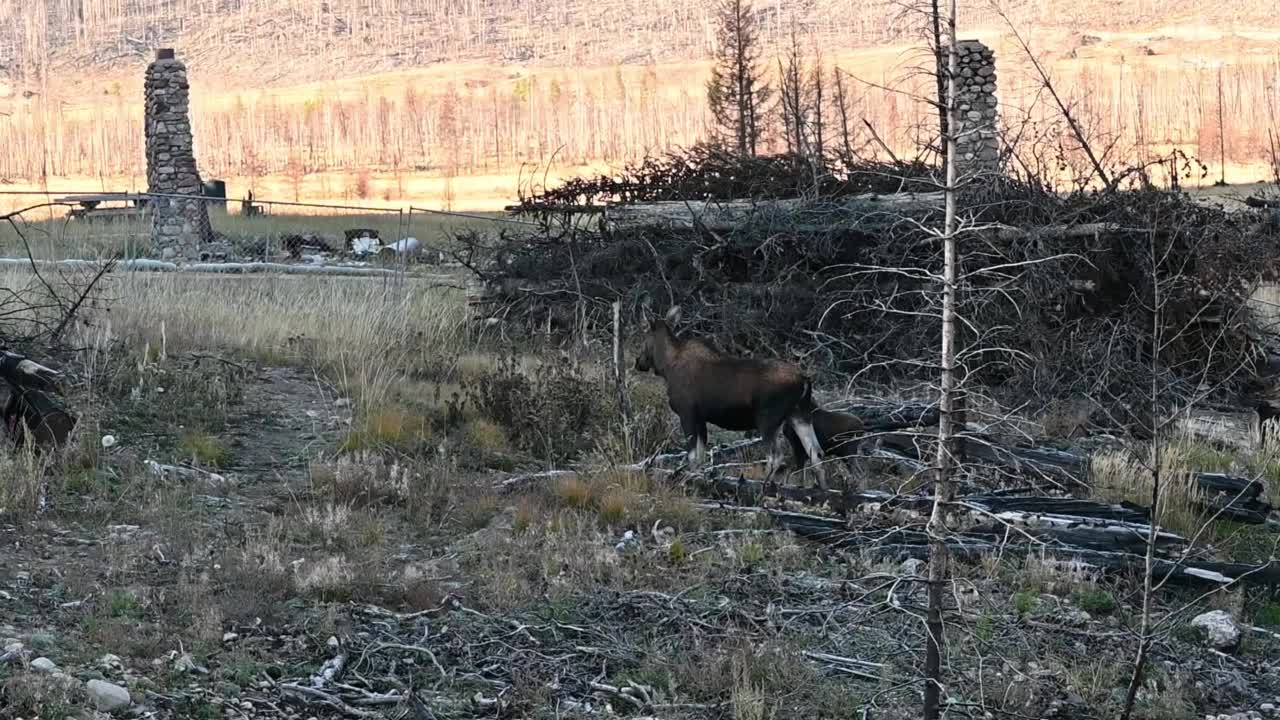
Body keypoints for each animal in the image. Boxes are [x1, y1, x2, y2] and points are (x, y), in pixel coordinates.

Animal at [632, 304, 829, 484]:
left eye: (643, 334)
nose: (638, 361)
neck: (666, 366)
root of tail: (804, 380)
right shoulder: (701, 418)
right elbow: (700, 456)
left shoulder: (687, 413)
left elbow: (692, 456)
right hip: (800, 414)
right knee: (816, 452)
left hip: (768, 419)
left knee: (776, 457)